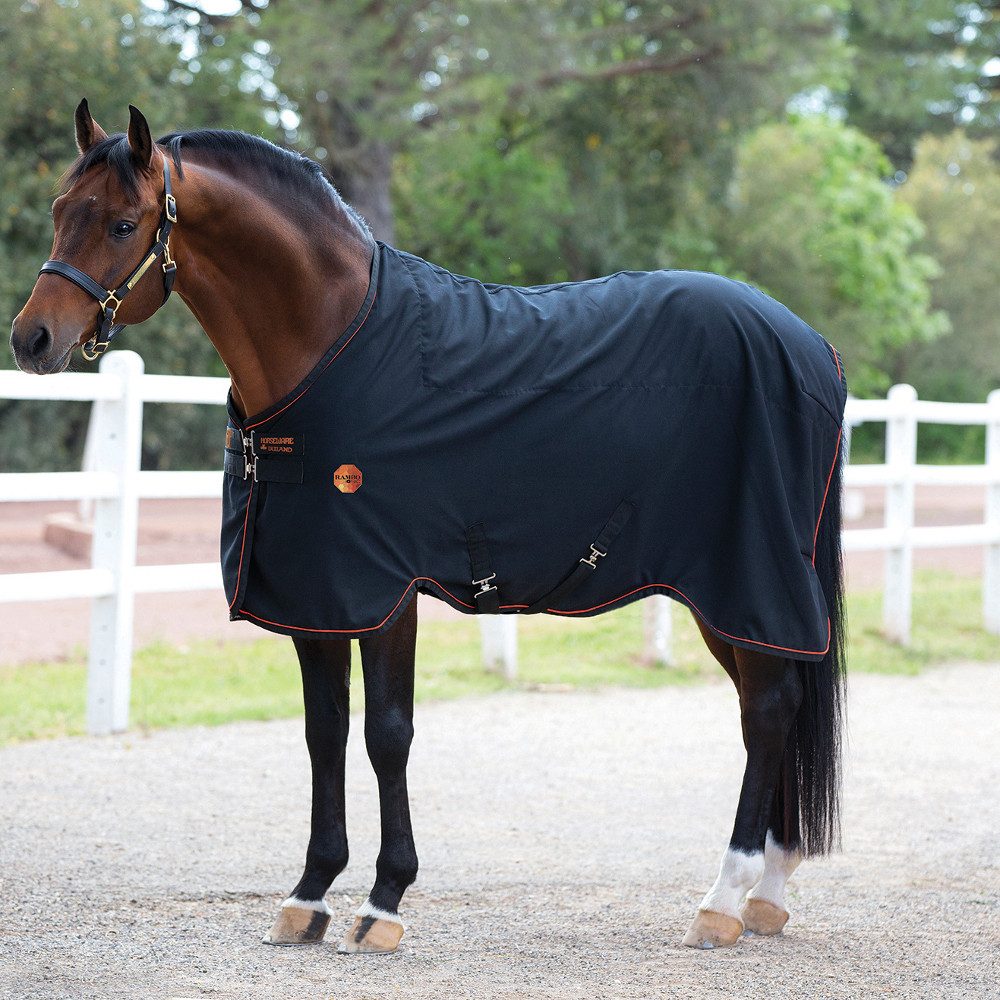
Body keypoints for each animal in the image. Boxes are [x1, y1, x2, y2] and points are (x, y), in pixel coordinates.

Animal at [10, 102, 846, 954]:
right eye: (58, 210)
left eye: (122, 224)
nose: (31, 339)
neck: (332, 346)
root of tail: (812, 347)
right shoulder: (314, 596)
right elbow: (324, 734)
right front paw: (309, 894)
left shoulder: (384, 588)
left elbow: (387, 733)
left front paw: (384, 900)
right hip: (727, 598)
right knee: (771, 707)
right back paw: (766, 892)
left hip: (742, 582)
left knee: (767, 711)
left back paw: (724, 897)